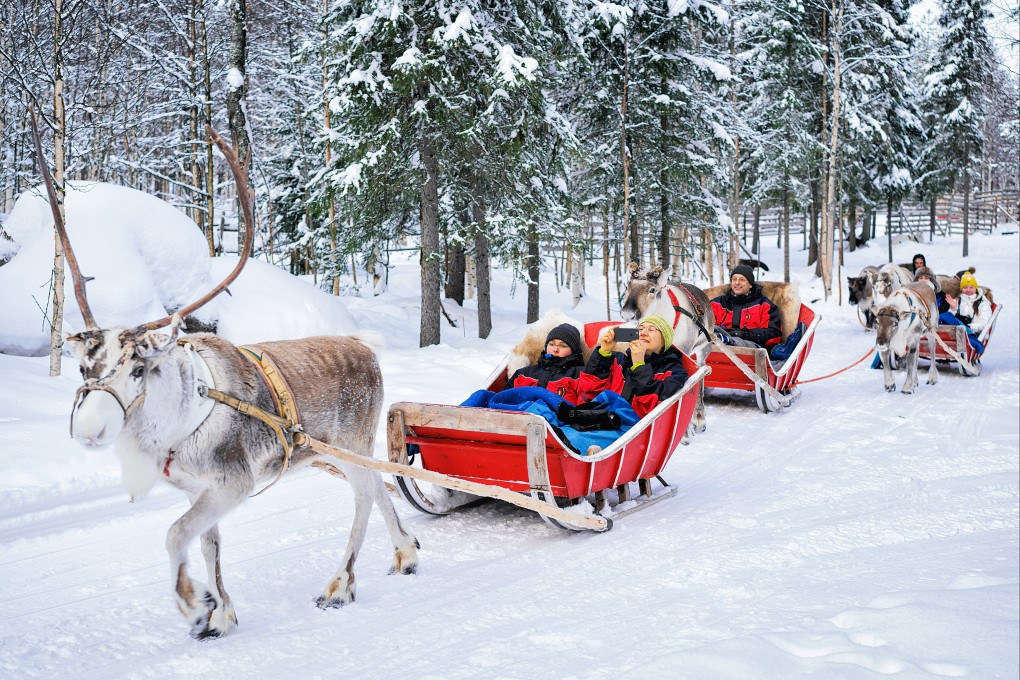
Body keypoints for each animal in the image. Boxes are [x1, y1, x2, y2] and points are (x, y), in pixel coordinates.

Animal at [30, 112, 418, 639]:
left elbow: (174, 533)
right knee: (379, 485)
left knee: (363, 496)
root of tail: (364, 348)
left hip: (352, 443)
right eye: (82, 366)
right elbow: (208, 544)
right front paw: (219, 611)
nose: (89, 429)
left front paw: (193, 603)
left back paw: (340, 585)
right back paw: (406, 551)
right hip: (334, 452)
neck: (173, 424)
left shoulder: (232, 483)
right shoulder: (200, 489)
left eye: (139, 368)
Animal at [620, 263, 715, 435]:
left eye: (652, 289)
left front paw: (685, 433)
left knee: (701, 375)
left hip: (704, 349)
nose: (628, 314)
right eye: (627, 286)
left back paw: (699, 419)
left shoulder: (685, 352)